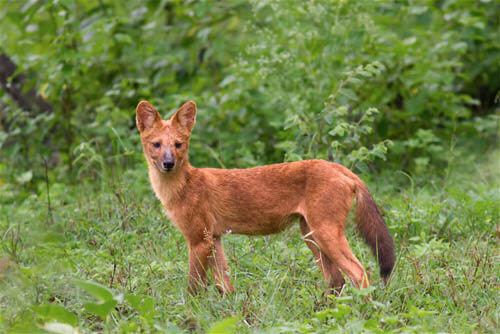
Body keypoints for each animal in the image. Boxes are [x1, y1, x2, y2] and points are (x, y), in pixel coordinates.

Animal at [136, 100, 394, 294]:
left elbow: (193, 289)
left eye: (178, 144)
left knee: (360, 274)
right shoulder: (214, 238)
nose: (168, 163)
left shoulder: (198, 240)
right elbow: (225, 287)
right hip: (310, 235)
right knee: (336, 280)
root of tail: (339, 167)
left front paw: (190, 314)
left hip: (325, 234)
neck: (181, 187)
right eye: (156, 144)